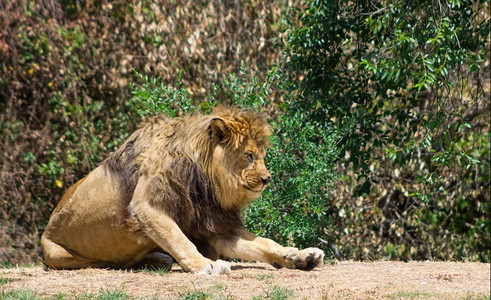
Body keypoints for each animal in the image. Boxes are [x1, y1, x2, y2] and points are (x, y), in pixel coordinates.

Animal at [41, 106, 326, 274]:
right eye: (249, 156)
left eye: (262, 156)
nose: (267, 179)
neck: (206, 183)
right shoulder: (147, 206)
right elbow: (179, 239)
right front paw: (206, 265)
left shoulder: (213, 226)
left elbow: (263, 243)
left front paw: (300, 255)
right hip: (58, 254)